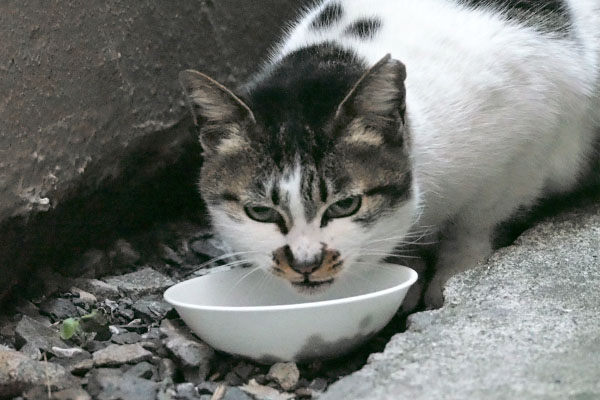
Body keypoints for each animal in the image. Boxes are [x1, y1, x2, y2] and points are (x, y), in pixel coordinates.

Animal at [179, 0, 600, 310]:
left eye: (345, 205)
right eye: (260, 212)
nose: (305, 263)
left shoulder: (533, 139)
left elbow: (475, 226)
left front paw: (452, 283)